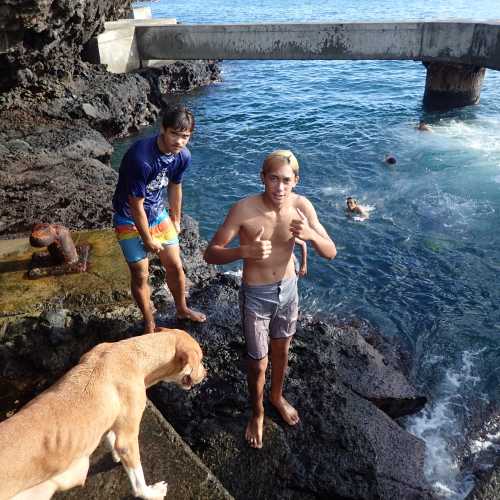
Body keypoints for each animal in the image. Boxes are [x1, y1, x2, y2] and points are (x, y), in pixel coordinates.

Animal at [0, 328, 206, 500]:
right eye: (202, 359)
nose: (206, 374)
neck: (132, 352)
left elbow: (110, 436)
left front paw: (114, 453)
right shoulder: (128, 439)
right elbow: (138, 479)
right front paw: (151, 493)